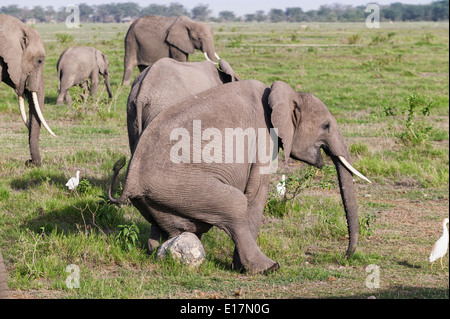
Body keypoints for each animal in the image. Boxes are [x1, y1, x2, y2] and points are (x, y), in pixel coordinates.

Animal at [109, 80, 370, 276]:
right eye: (325, 125)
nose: (345, 256)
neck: (285, 94)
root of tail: (129, 182)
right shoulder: (263, 138)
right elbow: (255, 194)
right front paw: (240, 268)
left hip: (159, 196)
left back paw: (158, 250)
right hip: (177, 185)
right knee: (234, 204)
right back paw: (268, 268)